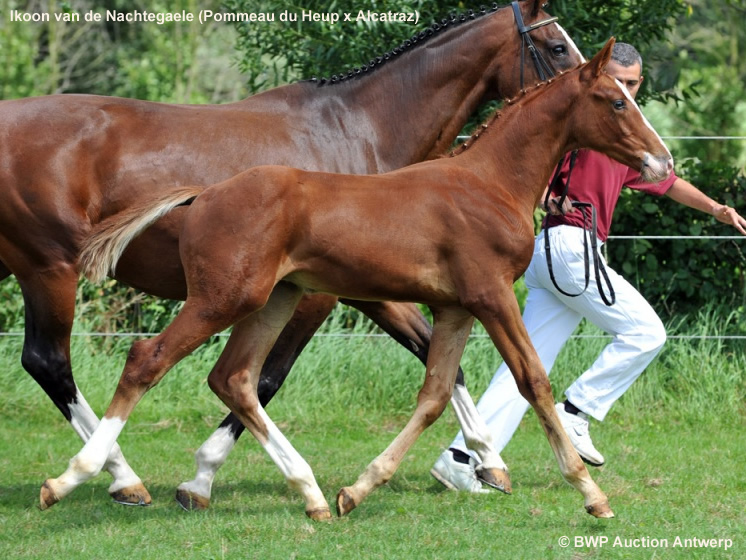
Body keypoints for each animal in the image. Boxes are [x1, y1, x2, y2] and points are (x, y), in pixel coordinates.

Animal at [42, 39, 676, 520]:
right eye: (614, 101)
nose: (663, 162)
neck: (487, 181)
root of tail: (205, 193)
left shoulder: (454, 307)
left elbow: (435, 392)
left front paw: (360, 488)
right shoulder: (491, 295)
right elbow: (533, 380)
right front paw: (591, 494)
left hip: (274, 302)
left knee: (235, 379)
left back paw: (311, 494)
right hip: (223, 299)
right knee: (146, 359)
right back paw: (79, 479)